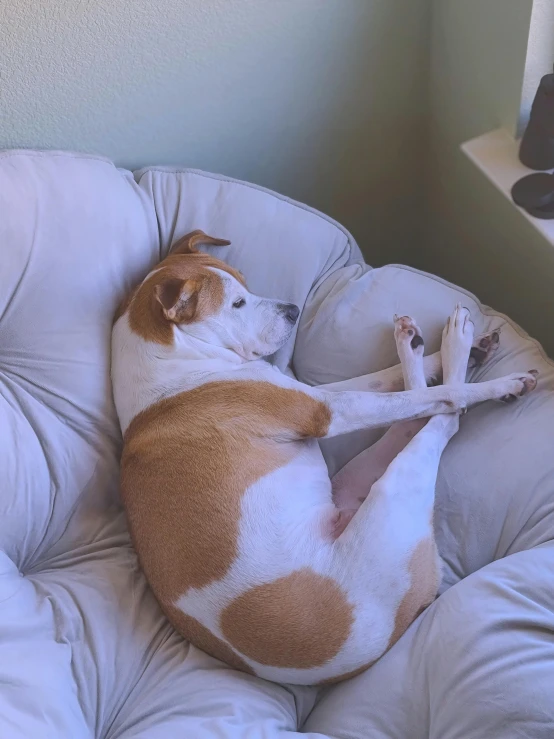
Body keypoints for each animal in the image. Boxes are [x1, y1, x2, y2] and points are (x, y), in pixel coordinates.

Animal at [111, 233, 536, 688]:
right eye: (236, 304)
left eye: (245, 283)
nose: (293, 310)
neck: (168, 363)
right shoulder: (329, 411)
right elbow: (431, 397)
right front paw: (491, 382)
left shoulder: (319, 395)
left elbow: (384, 383)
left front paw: (438, 354)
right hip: (393, 498)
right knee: (439, 420)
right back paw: (463, 350)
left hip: (355, 483)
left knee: (410, 417)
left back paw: (425, 344)